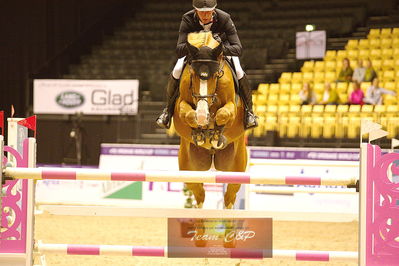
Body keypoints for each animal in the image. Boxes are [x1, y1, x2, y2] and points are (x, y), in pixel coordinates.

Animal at [173, 31, 248, 210]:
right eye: (192, 75)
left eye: (216, 75)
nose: (202, 114)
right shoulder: (181, 104)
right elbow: (188, 114)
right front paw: (200, 133)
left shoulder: (232, 106)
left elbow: (222, 114)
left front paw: (215, 137)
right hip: (190, 169)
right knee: (200, 194)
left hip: (235, 169)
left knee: (229, 197)